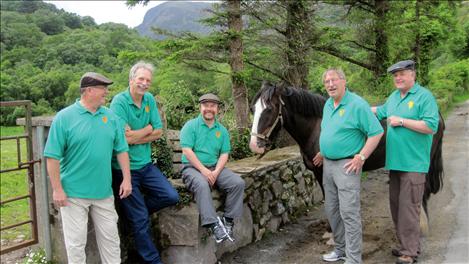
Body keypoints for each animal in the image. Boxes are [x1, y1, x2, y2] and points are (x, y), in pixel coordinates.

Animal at [247, 81, 444, 222]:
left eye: (269, 109)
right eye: (253, 109)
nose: (254, 145)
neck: (316, 129)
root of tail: (436, 115)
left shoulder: (324, 172)